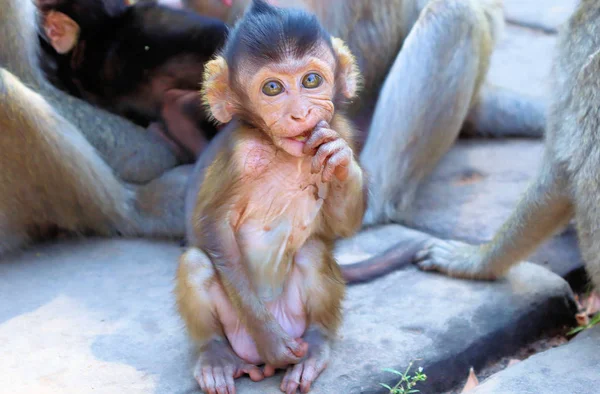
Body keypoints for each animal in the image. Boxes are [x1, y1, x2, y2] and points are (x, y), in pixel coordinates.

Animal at [176, 1, 366, 392]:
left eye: (311, 81)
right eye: (273, 88)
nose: (301, 114)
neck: (282, 152)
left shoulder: (340, 128)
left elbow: (342, 227)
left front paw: (339, 160)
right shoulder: (240, 154)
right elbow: (211, 226)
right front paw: (271, 341)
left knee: (312, 251)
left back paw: (314, 349)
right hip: (237, 328)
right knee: (197, 263)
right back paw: (217, 356)